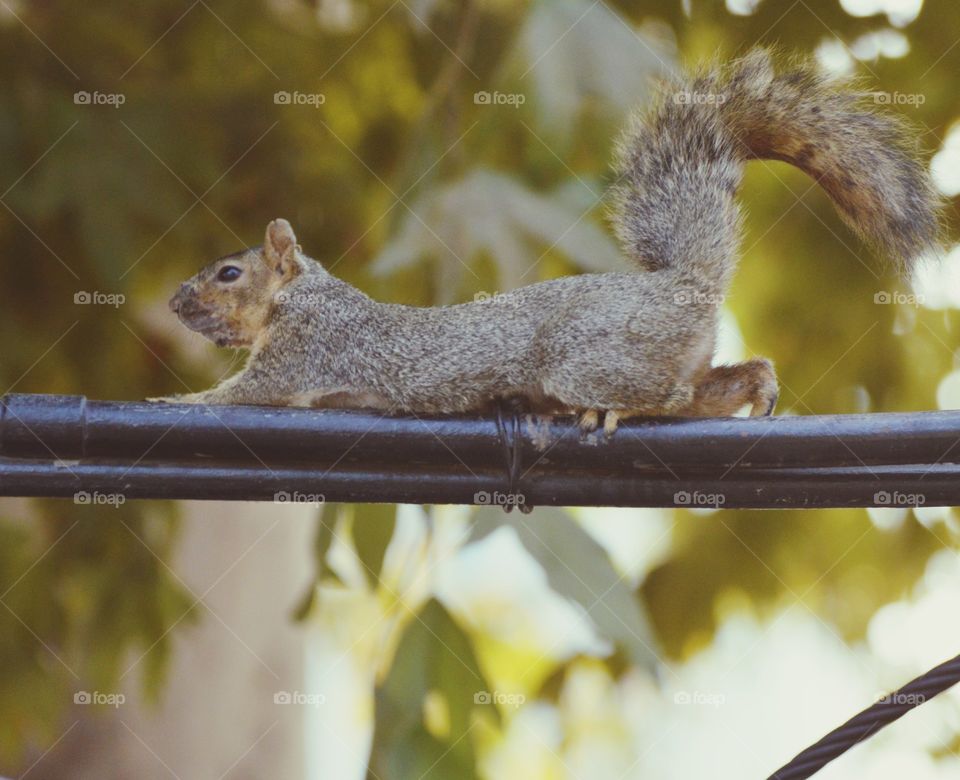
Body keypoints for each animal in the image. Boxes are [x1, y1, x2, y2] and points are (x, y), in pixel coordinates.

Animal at [153, 49, 942, 435]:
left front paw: (172, 402)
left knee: (664, 394)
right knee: (705, 392)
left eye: (228, 274)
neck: (305, 294)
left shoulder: (299, 353)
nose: (172, 302)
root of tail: (684, 283)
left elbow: (238, 393)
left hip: (594, 359)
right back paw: (758, 384)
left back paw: (618, 411)